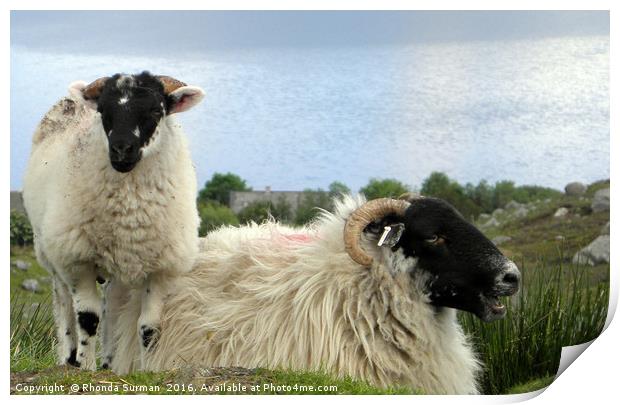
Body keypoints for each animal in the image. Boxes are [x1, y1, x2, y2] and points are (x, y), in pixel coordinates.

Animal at [22, 70, 206, 370]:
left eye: (156, 110)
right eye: (103, 111)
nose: (121, 150)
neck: (129, 212)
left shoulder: (161, 268)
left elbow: (149, 327)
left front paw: (147, 370)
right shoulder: (78, 261)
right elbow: (87, 318)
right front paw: (85, 367)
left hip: (119, 266)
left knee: (112, 307)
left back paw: (109, 363)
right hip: (52, 253)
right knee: (65, 306)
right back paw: (69, 359)